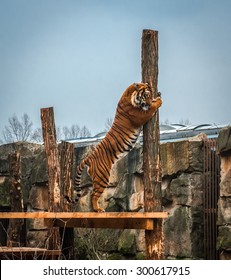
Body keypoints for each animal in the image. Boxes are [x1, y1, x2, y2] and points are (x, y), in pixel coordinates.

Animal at [66, 83, 162, 212]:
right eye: (146, 95)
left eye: (150, 94)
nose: (148, 102)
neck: (130, 95)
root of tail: (89, 158)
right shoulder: (140, 115)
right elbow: (151, 109)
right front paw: (158, 101)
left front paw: (158, 95)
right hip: (102, 177)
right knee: (93, 194)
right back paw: (98, 209)